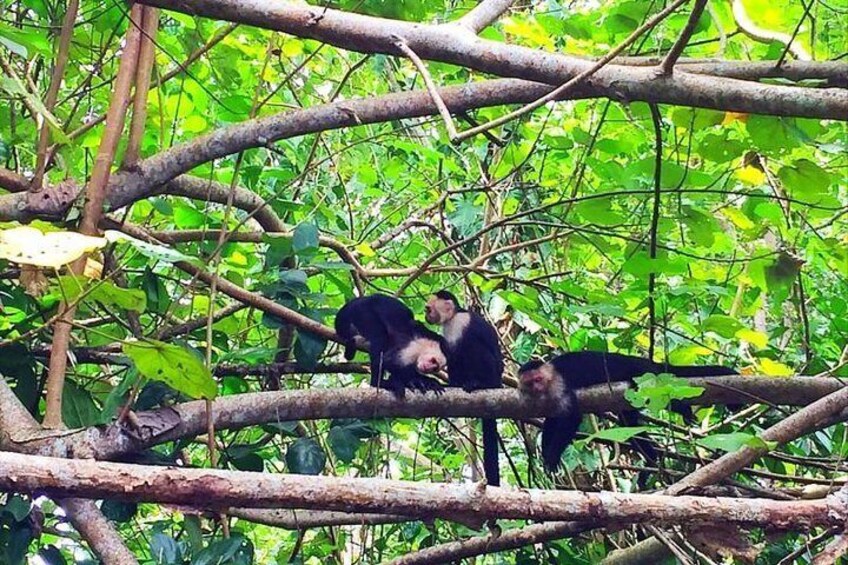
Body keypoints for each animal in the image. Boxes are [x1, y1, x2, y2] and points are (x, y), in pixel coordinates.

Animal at [424, 288, 504, 486]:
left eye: (428, 309)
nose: (425, 316)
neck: (454, 316)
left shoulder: (461, 322)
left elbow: (461, 348)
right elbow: (450, 355)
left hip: (493, 374)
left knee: (473, 346)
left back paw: (478, 383)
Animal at [516, 352, 736, 476]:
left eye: (538, 379)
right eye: (529, 382)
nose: (536, 388)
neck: (549, 381)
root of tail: (647, 361)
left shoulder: (559, 384)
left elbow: (571, 417)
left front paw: (552, 457)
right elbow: (552, 422)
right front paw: (546, 454)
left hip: (645, 375)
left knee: (665, 396)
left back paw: (683, 410)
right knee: (630, 425)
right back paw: (651, 458)